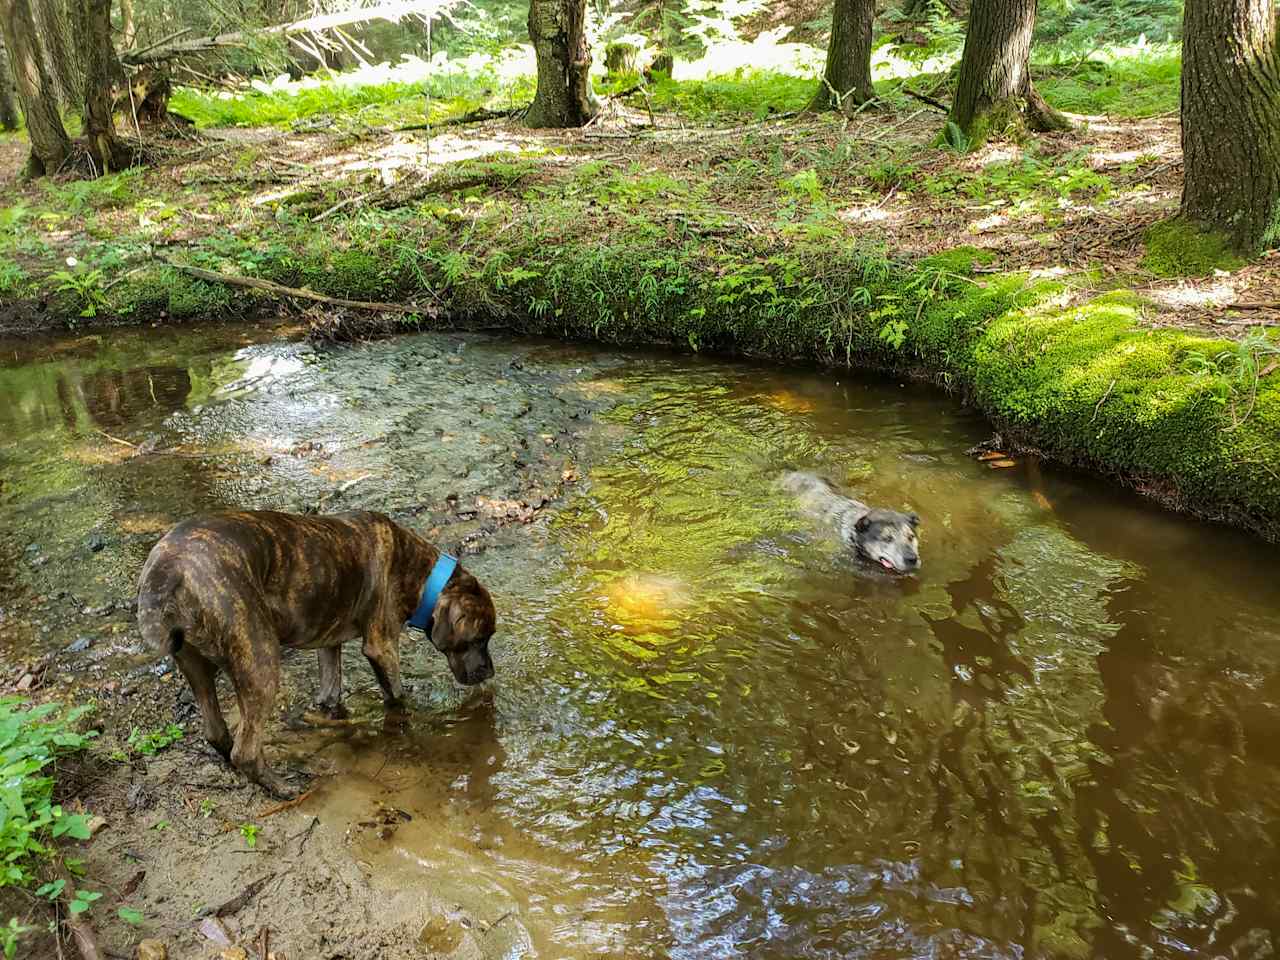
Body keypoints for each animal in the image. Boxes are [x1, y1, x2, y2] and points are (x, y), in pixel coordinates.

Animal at [135, 512, 494, 798]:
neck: (419, 571)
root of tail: (169, 568)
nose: (489, 673)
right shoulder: (381, 646)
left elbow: (330, 690)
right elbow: (396, 695)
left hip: (194, 664)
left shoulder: (329, 644)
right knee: (245, 750)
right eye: (480, 638)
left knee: (216, 731)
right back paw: (282, 787)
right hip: (260, 660)